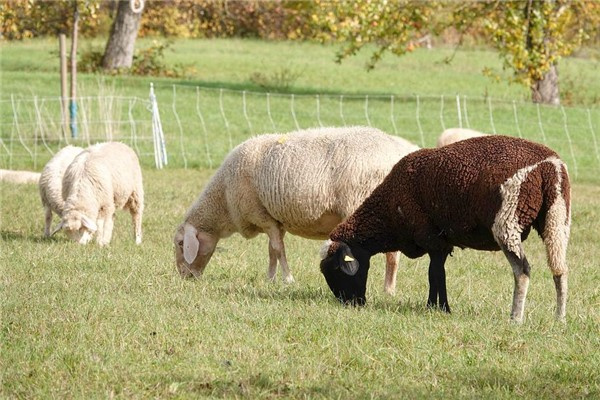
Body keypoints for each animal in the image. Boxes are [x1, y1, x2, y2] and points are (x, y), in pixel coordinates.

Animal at [172, 125, 418, 290]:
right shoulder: (274, 220)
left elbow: (278, 250)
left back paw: (383, 288)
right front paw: (270, 278)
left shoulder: (262, 215)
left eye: (181, 243)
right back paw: (389, 289)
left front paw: (287, 279)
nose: (184, 277)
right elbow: (272, 251)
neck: (223, 198)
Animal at [322, 136, 568, 324]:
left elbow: (434, 274)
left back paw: (516, 317)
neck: (388, 211)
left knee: (523, 270)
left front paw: (434, 308)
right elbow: (440, 273)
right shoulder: (441, 243)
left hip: (507, 221)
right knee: (560, 270)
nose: (351, 304)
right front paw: (442, 307)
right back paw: (560, 319)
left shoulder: (430, 237)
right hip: (558, 218)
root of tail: (549, 165)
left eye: (335, 269)